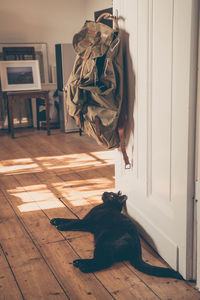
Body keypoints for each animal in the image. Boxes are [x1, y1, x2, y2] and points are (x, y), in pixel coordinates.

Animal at [50, 192, 183, 278]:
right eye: (109, 193)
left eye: (111, 195)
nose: (105, 192)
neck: (108, 206)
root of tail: (137, 245)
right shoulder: (85, 221)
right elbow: (68, 219)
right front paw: (55, 220)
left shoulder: (86, 222)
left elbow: (73, 222)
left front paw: (61, 227)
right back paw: (80, 263)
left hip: (103, 243)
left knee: (105, 261)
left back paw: (82, 265)